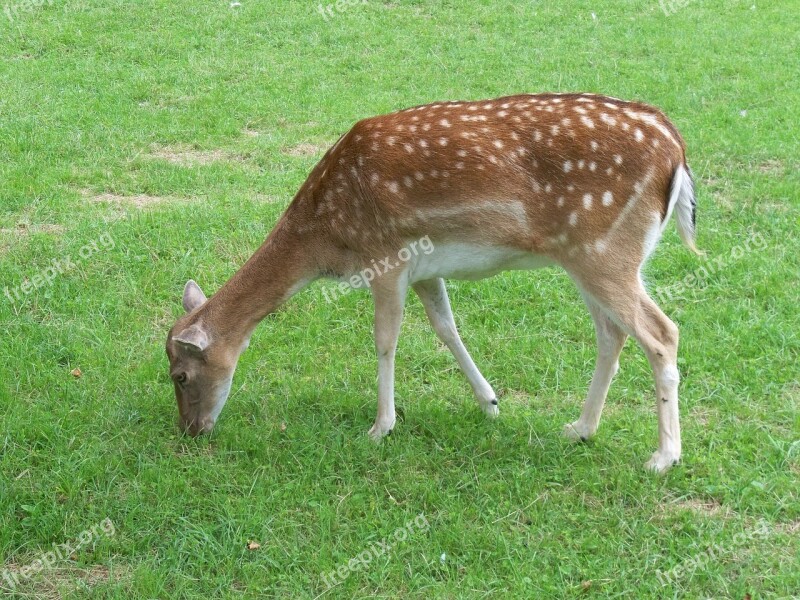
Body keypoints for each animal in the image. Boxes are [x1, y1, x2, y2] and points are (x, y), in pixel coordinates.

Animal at [166, 91, 696, 472]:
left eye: (180, 375)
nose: (191, 430)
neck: (328, 238)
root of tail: (677, 148)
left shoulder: (386, 257)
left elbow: (385, 339)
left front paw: (381, 427)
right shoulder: (427, 269)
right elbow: (446, 328)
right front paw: (489, 402)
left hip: (605, 251)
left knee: (662, 332)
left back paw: (663, 457)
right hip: (590, 258)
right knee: (612, 334)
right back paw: (580, 428)